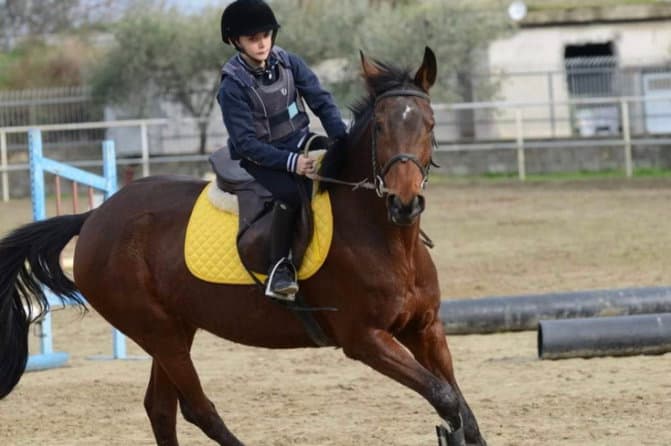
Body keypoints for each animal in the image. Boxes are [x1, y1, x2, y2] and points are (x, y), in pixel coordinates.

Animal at [0, 47, 486, 446]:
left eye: (430, 125)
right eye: (381, 127)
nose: (405, 204)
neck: (387, 239)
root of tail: (95, 217)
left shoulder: (426, 329)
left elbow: (463, 406)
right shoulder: (365, 339)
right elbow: (445, 398)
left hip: (174, 329)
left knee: (161, 409)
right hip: (157, 331)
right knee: (197, 410)